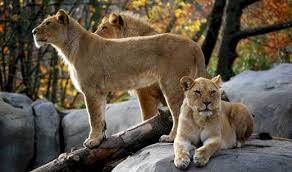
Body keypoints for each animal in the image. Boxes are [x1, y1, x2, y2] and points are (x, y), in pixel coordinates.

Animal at [32, 9, 208, 148]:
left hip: (171, 83)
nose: (33, 32)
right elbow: (101, 117)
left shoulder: (90, 90)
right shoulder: (100, 91)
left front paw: (92, 141)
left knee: (178, 113)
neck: (69, 48)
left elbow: (93, 117)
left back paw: (170, 138)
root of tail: (193, 44)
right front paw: (100, 139)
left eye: (47, 23)